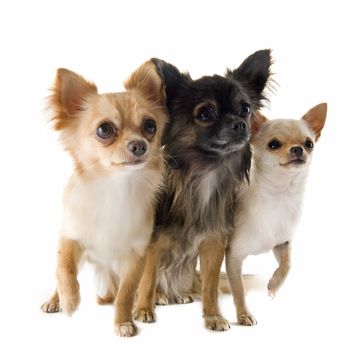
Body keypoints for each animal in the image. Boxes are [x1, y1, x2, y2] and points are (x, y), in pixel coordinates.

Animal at [40, 60, 167, 336]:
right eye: (104, 130)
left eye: (150, 126)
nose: (139, 145)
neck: (115, 187)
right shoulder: (70, 237)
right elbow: (64, 268)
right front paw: (69, 300)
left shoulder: (136, 256)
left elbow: (126, 294)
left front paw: (123, 322)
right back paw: (55, 300)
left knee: (144, 285)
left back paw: (149, 303)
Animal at [133, 50, 272, 330]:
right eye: (205, 114)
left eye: (245, 109)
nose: (240, 124)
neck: (206, 173)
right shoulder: (152, 243)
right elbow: (147, 277)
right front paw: (143, 308)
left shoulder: (213, 244)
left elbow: (210, 285)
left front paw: (214, 316)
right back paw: (159, 297)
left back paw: (181, 294)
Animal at [226, 103, 326, 326]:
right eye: (274, 144)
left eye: (309, 144)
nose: (297, 149)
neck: (279, 196)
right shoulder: (234, 256)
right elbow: (238, 289)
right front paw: (244, 314)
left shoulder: (282, 243)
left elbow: (287, 265)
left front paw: (274, 285)